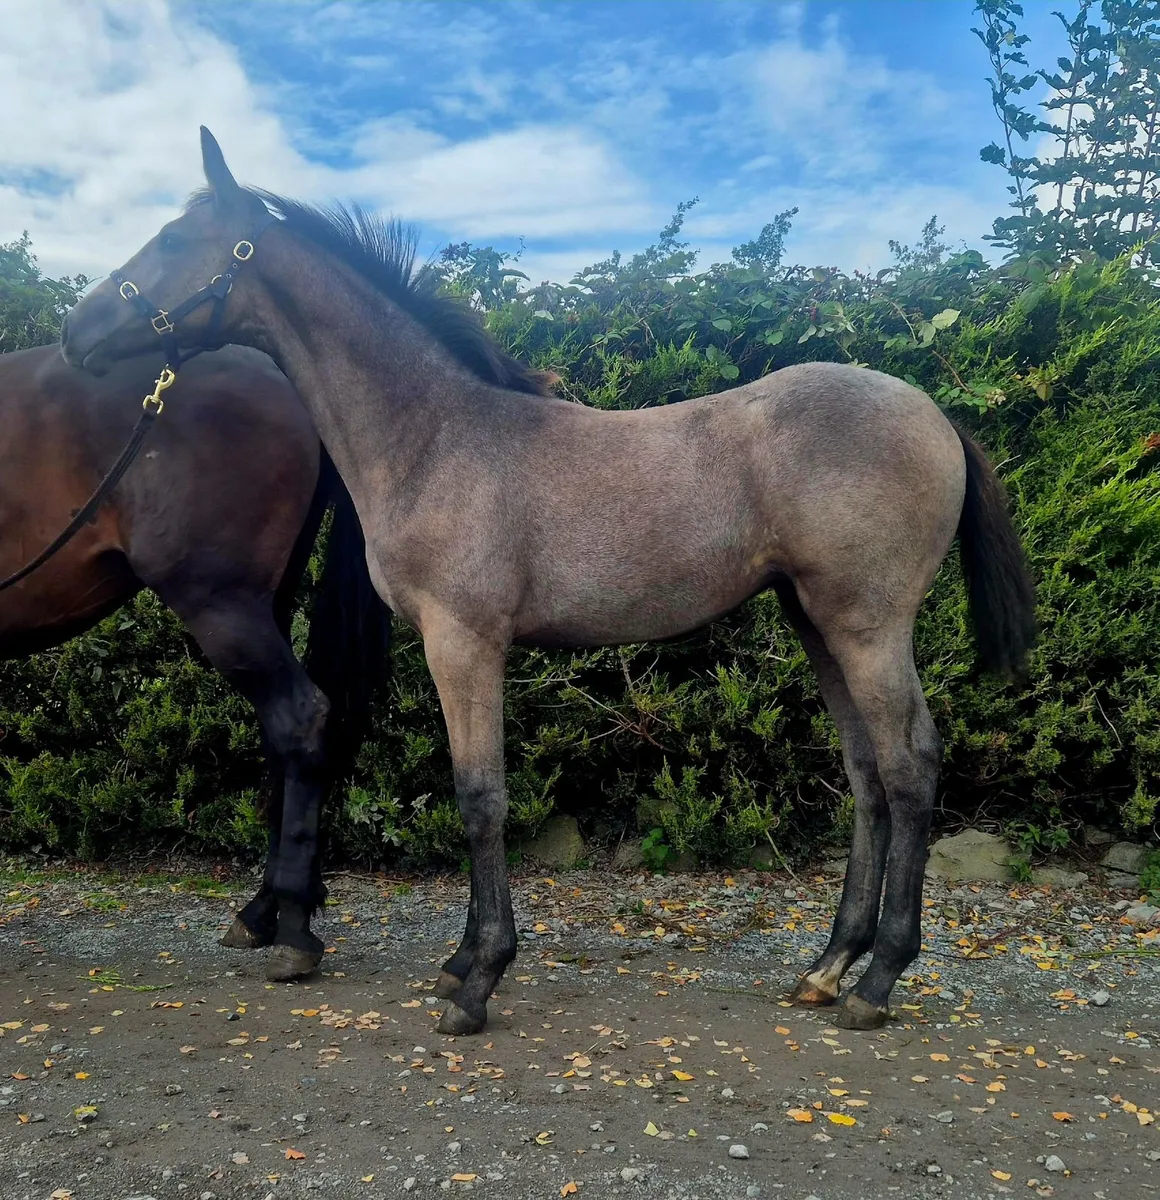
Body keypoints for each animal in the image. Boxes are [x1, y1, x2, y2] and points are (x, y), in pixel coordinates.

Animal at [60, 127, 1036, 1035]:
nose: (76, 333)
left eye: (175, 237)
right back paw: (828, 967)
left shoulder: (464, 642)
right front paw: (460, 963)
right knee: (866, 774)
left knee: (908, 765)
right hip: (815, 621)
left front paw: (479, 980)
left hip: (868, 624)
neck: (436, 439)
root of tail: (934, 414)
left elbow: (480, 797)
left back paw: (878, 981)